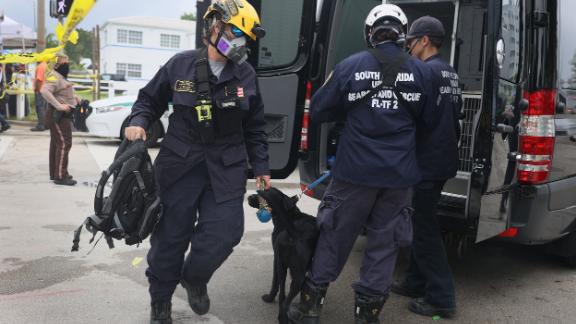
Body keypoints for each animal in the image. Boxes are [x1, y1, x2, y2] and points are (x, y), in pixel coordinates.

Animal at [248, 187, 320, 324]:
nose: (249, 197)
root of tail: (294, 233)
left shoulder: (276, 260)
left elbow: (275, 282)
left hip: (284, 266)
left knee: (282, 294)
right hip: (298, 276)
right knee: (285, 299)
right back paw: (283, 318)